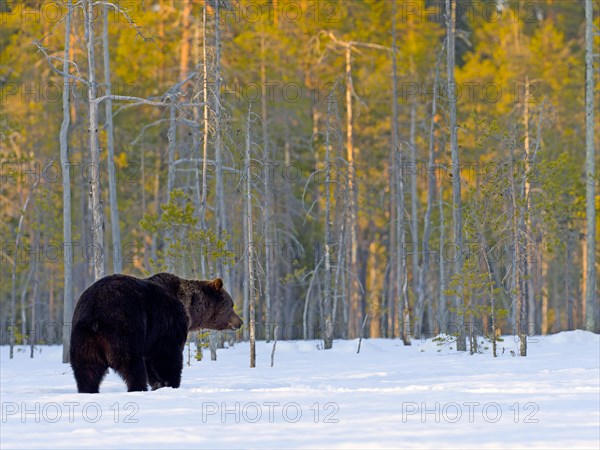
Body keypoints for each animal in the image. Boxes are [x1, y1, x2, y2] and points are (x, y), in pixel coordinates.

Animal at [68, 272, 241, 392]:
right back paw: (138, 387)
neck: (189, 310)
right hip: (123, 328)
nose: (240, 322)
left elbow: (152, 361)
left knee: (87, 369)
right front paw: (171, 383)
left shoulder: (152, 339)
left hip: (83, 338)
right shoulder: (168, 325)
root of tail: (94, 313)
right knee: (132, 365)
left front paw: (159, 384)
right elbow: (168, 358)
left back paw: (88, 390)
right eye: (231, 304)